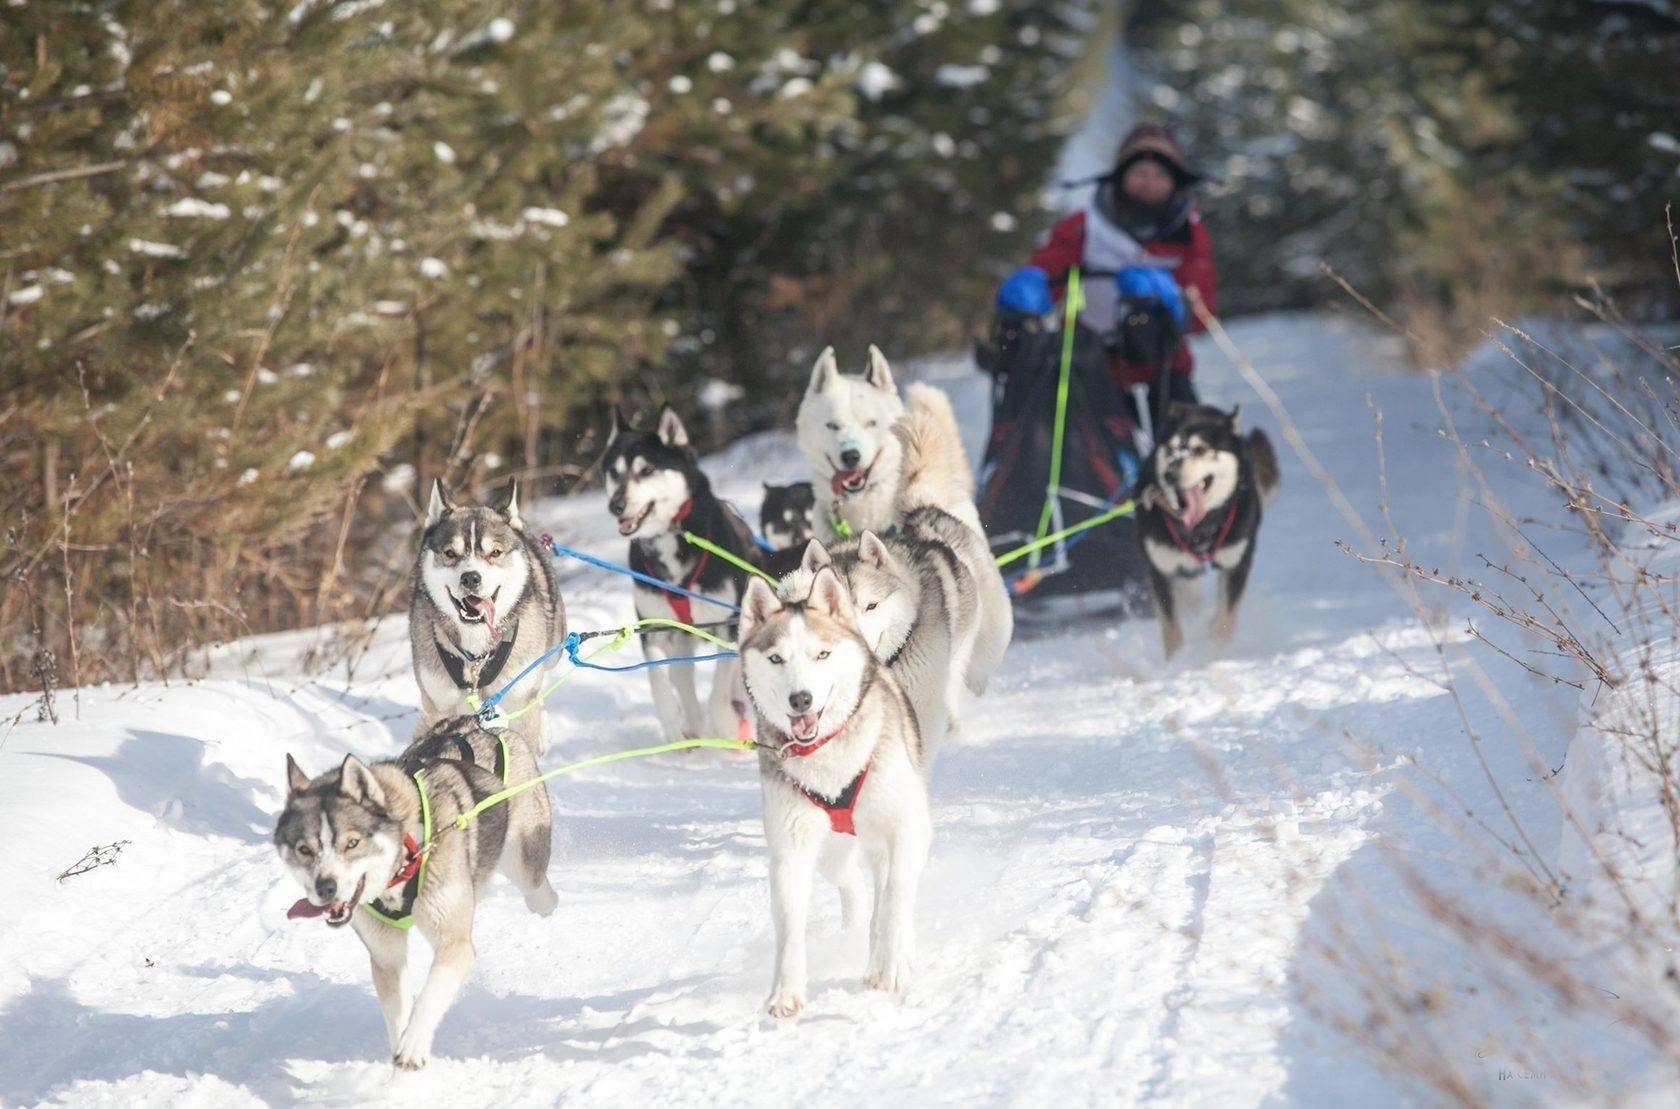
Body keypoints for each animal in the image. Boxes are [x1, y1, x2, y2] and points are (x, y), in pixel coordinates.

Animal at [739, 567, 934, 1014]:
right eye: (776, 659)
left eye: (822, 655)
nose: (800, 699)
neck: (829, 757)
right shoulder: (790, 848)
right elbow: (789, 924)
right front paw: (786, 991)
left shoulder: (906, 825)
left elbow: (896, 897)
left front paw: (893, 962)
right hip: (832, 851)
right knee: (855, 887)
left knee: (891, 891)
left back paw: (889, 956)